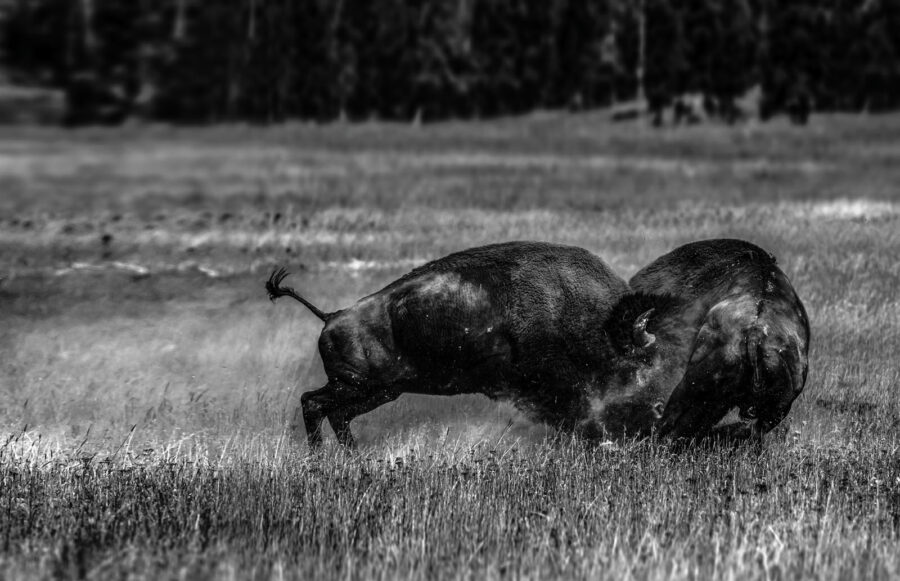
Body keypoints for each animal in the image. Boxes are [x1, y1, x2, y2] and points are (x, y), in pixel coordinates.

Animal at [268, 242, 688, 446]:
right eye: (642, 365)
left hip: (380, 391)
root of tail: (331, 317)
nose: (659, 410)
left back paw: (351, 456)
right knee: (313, 403)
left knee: (336, 414)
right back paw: (321, 457)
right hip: (357, 386)